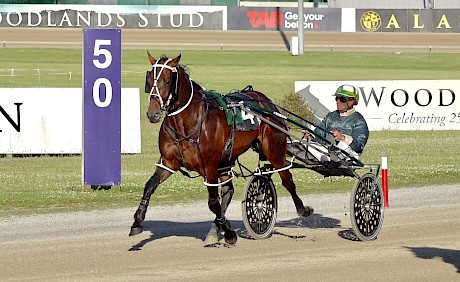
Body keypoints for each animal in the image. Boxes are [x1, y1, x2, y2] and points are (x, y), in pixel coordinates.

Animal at [131, 53, 314, 245]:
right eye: (149, 80)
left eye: (167, 81)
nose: (153, 113)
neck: (187, 122)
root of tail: (268, 103)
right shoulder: (169, 162)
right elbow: (149, 186)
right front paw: (137, 221)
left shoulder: (209, 166)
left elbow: (213, 202)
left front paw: (229, 232)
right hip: (227, 159)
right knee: (228, 191)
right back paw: (216, 227)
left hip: (274, 150)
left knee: (287, 179)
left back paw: (303, 209)